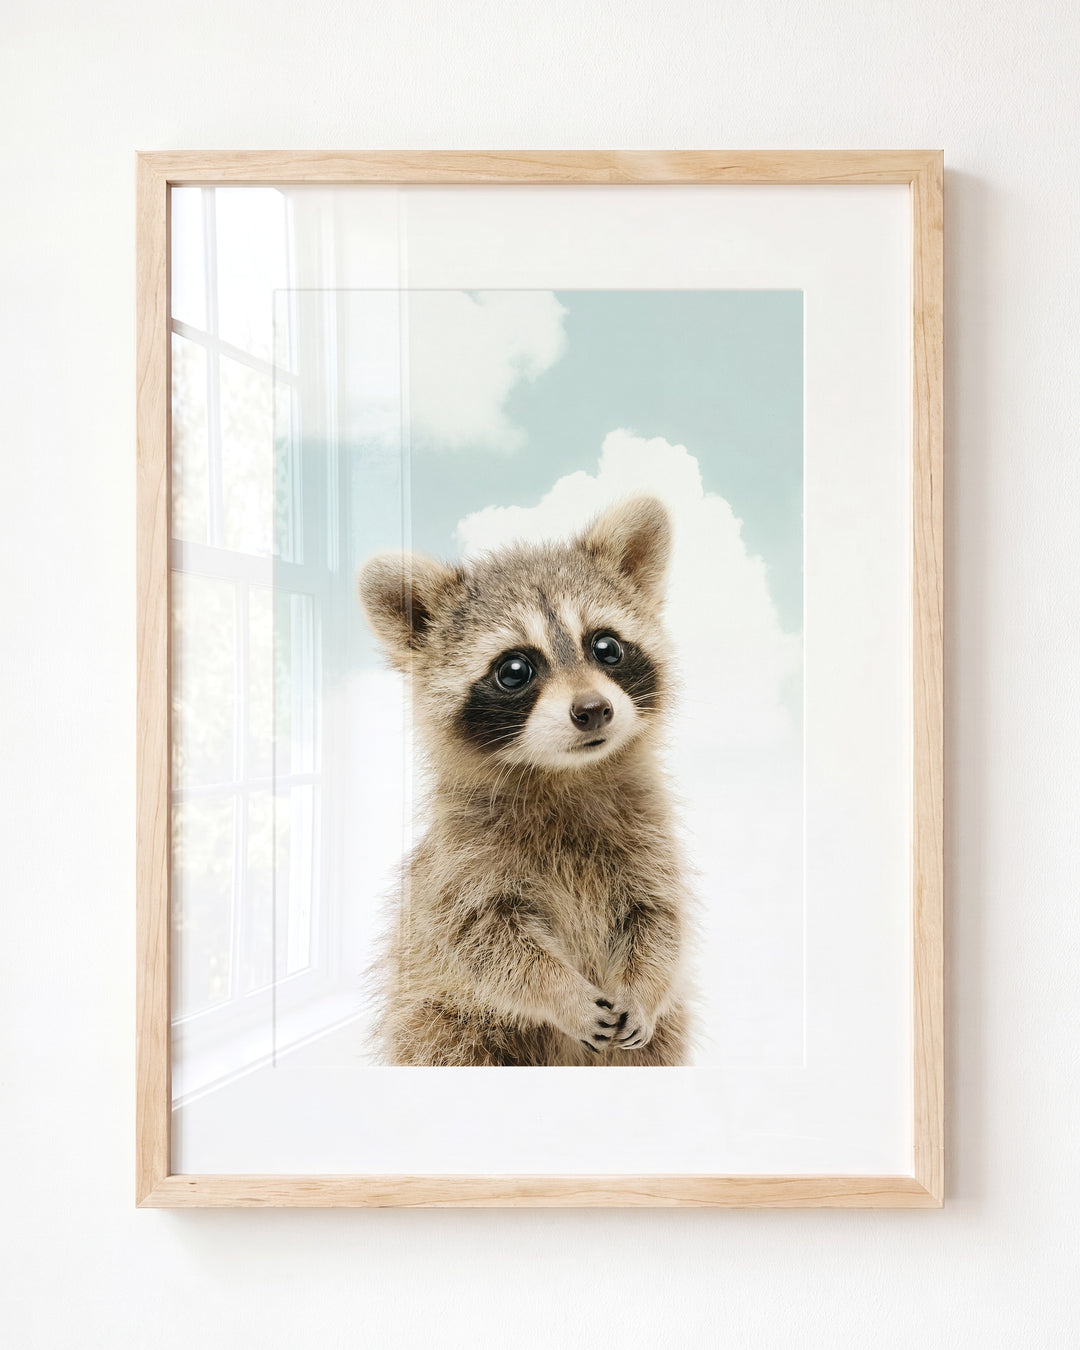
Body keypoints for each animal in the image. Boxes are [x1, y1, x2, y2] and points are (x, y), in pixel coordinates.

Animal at [357, 495, 691, 1066]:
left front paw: (644, 988)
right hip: (440, 1021)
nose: (593, 710)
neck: (565, 775)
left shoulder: (649, 837)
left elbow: (660, 919)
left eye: (606, 647)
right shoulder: (461, 865)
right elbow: (486, 944)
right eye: (515, 670)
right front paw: (562, 993)